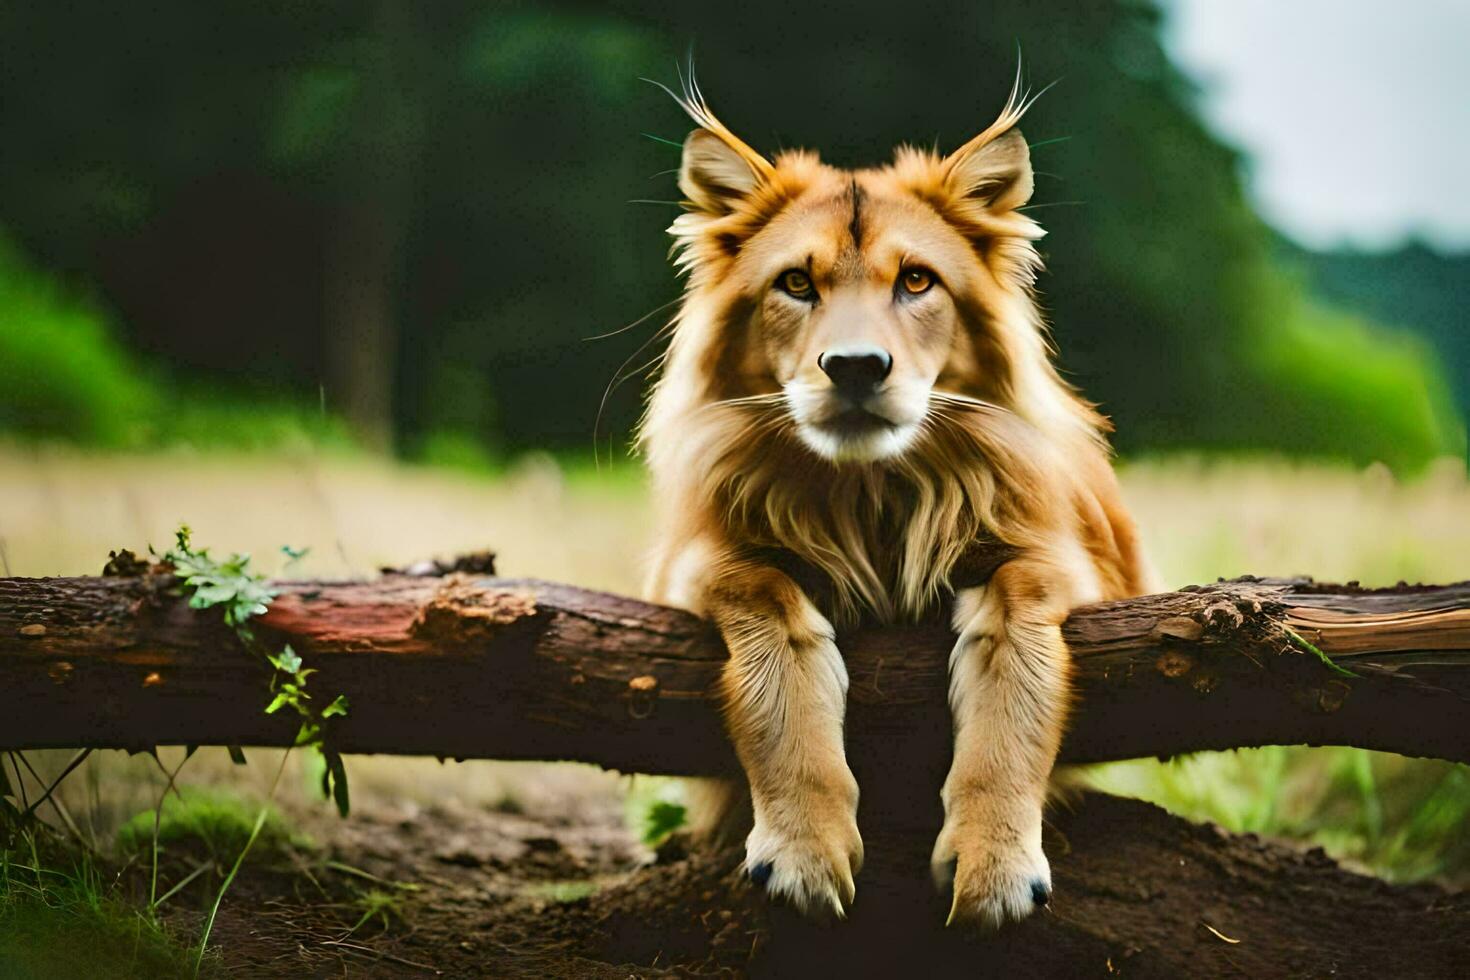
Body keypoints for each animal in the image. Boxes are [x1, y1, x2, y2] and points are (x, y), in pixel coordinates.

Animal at [637, 74, 1152, 928]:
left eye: (916, 281)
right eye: (796, 283)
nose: (854, 366)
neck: (871, 492)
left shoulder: (1074, 564)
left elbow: (1015, 657)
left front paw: (998, 867)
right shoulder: (688, 565)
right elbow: (777, 626)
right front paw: (803, 852)